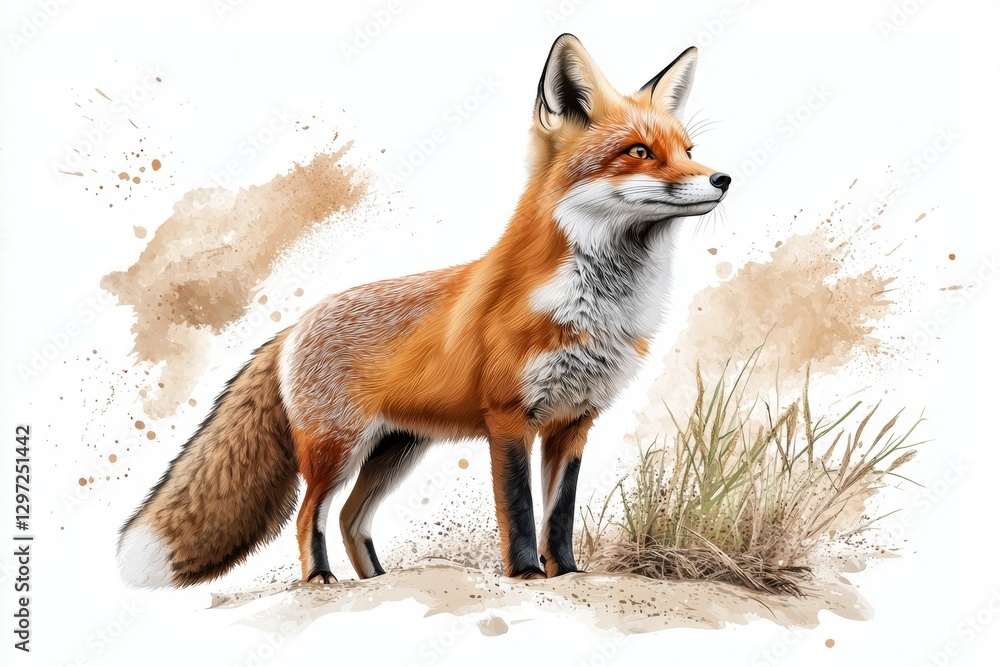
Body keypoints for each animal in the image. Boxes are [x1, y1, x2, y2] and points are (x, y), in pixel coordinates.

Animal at [117, 33, 730, 587]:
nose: (722, 178)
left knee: (350, 518)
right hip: (338, 450)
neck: (593, 308)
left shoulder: (573, 421)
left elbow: (559, 516)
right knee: (309, 514)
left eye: (688, 151)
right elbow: (520, 510)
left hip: (397, 451)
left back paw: (377, 581)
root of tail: (294, 326)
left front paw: (568, 573)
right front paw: (527, 574)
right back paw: (320, 579)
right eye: (639, 152)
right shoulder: (507, 417)